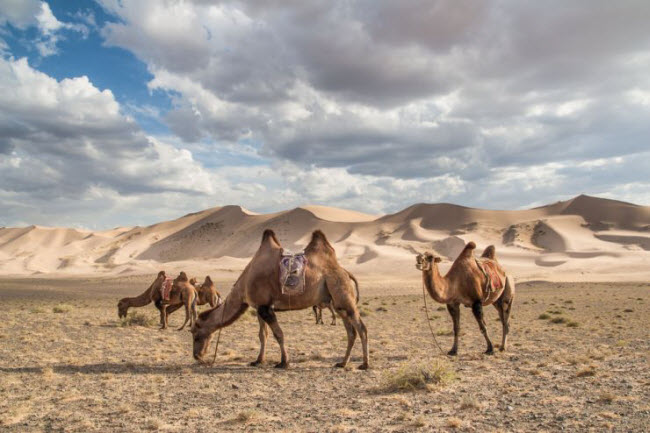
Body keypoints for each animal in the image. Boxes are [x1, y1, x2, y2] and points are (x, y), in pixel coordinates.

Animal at [190, 230, 368, 368]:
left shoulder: (265, 307)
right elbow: (263, 335)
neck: (244, 285)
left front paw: (283, 362)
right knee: (350, 331)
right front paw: (258, 360)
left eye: (196, 334)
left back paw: (364, 364)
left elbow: (278, 334)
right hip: (338, 302)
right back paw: (342, 363)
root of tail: (345, 272)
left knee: (361, 328)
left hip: (342, 292)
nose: (196, 356)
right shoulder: (259, 307)